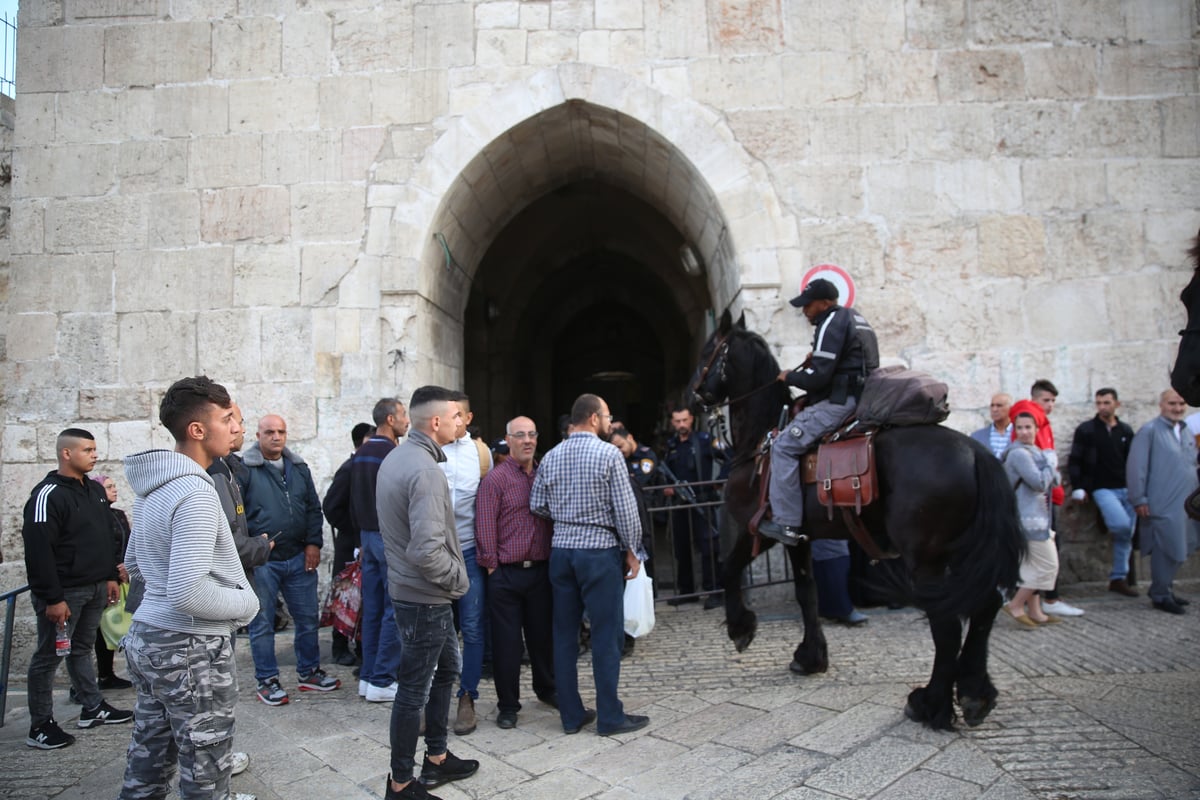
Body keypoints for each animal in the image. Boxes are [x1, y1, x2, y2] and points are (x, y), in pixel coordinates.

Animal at [696, 309, 1022, 729]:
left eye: (708, 351)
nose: (693, 396)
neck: (762, 438)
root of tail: (975, 452)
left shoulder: (765, 529)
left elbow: (730, 567)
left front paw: (741, 627)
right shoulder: (798, 536)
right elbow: (807, 592)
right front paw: (810, 656)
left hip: (926, 560)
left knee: (948, 623)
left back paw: (931, 704)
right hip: (964, 553)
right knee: (985, 605)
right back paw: (974, 694)